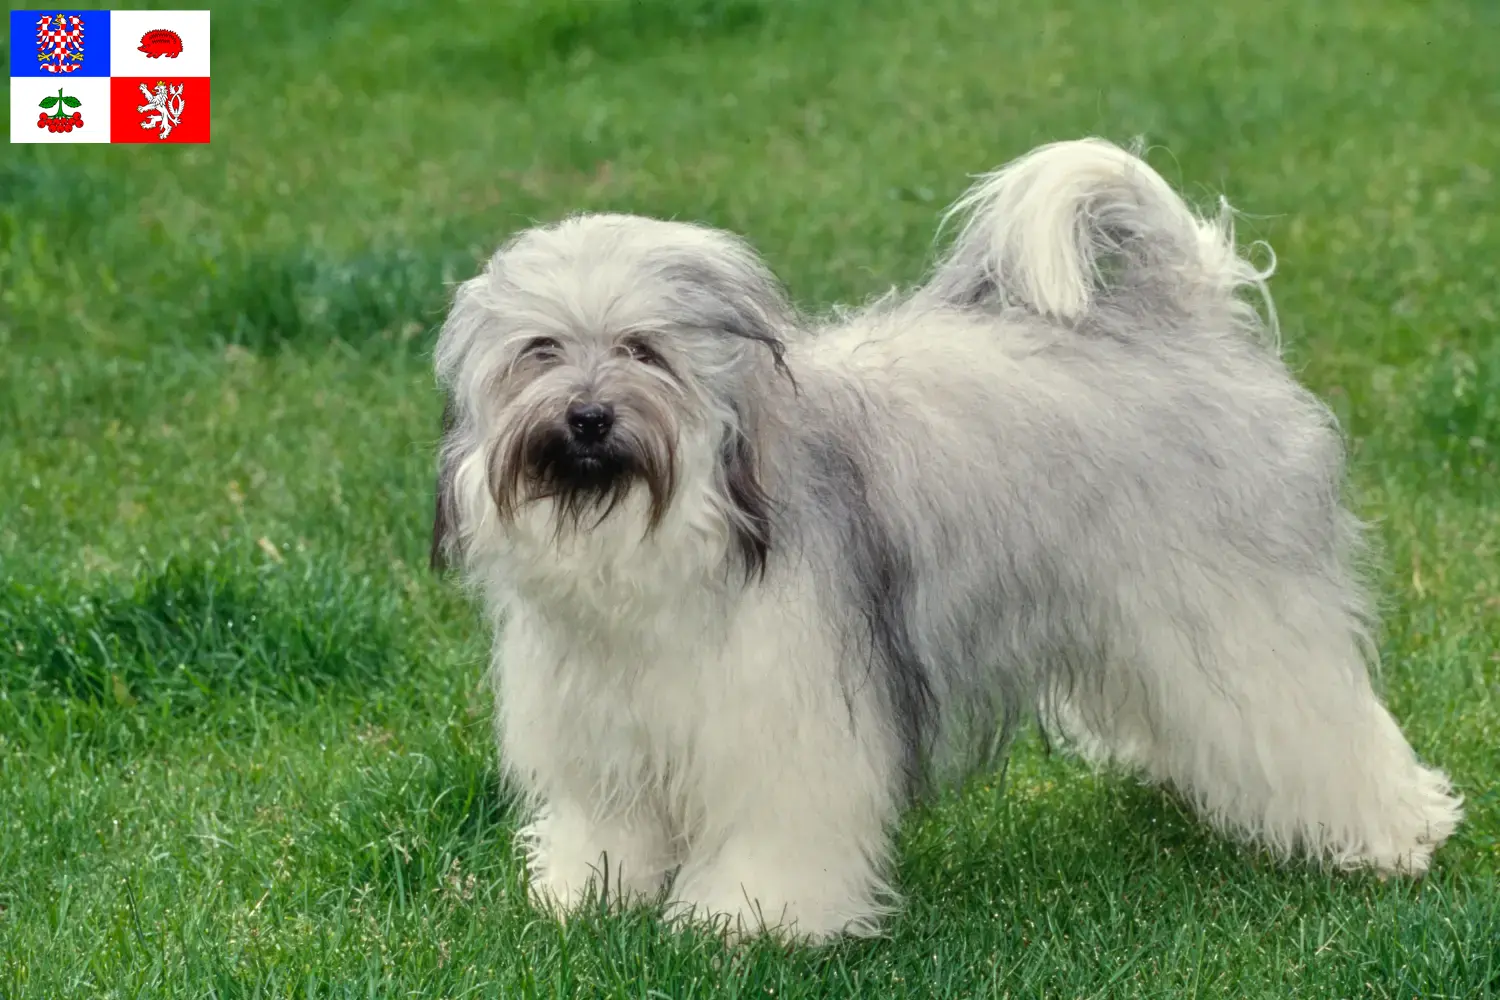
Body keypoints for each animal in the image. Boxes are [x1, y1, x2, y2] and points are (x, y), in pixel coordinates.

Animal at [429, 137, 1458, 941]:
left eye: (644, 350)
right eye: (540, 352)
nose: (587, 418)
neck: (651, 532)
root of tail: (1188, 316)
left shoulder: (783, 720)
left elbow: (775, 826)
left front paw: (749, 920)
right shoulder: (604, 725)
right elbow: (608, 826)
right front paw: (587, 897)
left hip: (1249, 618)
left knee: (1322, 727)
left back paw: (1393, 839)